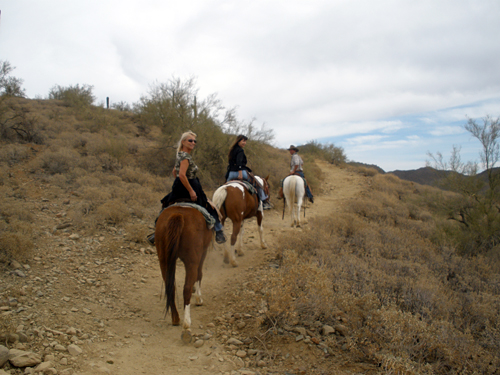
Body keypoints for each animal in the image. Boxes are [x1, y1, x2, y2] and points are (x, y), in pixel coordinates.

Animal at [155, 206, 212, 344]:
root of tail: (178, 215)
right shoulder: (202, 253)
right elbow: (199, 275)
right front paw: (198, 298)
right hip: (191, 260)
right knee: (186, 288)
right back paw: (186, 327)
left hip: (163, 259)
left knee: (170, 287)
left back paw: (175, 318)